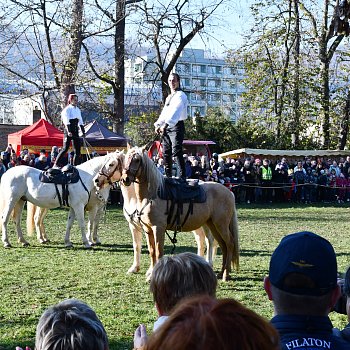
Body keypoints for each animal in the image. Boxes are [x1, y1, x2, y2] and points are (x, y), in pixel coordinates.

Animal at [121, 146, 241, 280]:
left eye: (137, 160)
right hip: (213, 225)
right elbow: (152, 251)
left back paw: (226, 274)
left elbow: (158, 251)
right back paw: (221, 273)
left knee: (229, 244)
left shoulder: (158, 228)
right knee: (223, 245)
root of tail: (229, 192)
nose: (125, 179)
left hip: (221, 225)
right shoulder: (148, 229)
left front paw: (153, 275)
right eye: (126, 159)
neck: (153, 194)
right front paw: (150, 273)